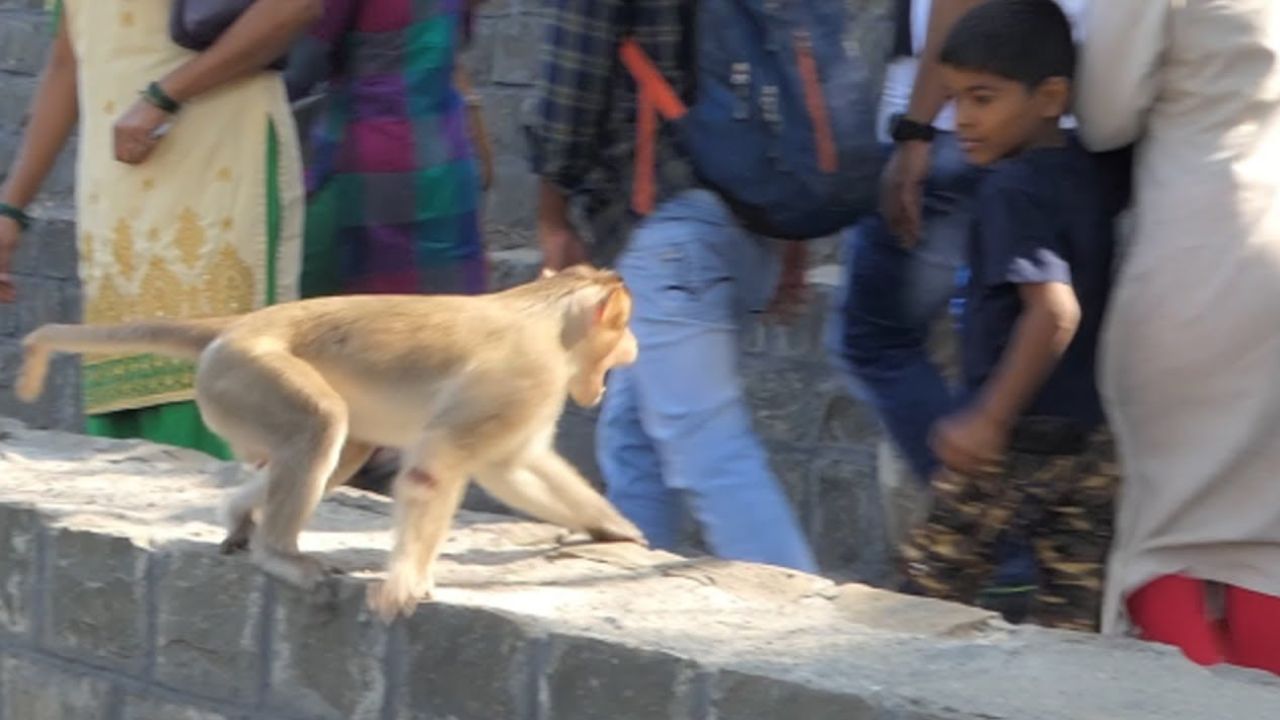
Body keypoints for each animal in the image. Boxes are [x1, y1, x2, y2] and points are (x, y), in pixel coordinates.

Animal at [22, 263, 650, 617]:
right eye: (622, 325)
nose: (634, 350)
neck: (545, 316)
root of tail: (235, 326)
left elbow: (516, 465)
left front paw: (614, 527)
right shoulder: (527, 377)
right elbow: (441, 466)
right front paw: (405, 584)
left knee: (341, 449)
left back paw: (240, 513)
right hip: (247, 375)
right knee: (322, 424)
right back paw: (280, 555)